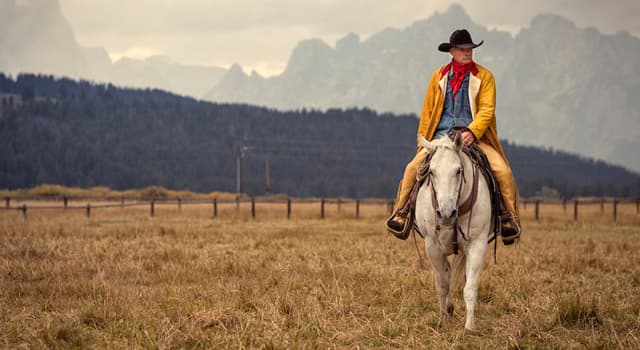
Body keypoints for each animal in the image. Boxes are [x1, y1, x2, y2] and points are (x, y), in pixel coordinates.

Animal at [412, 132, 492, 330]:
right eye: (431, 172)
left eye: (458, 171)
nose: (446, 213)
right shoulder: (432, 247)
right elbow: (442, 283)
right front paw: (442, 319)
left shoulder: (477, 245)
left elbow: (469, 287)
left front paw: (469, 326)